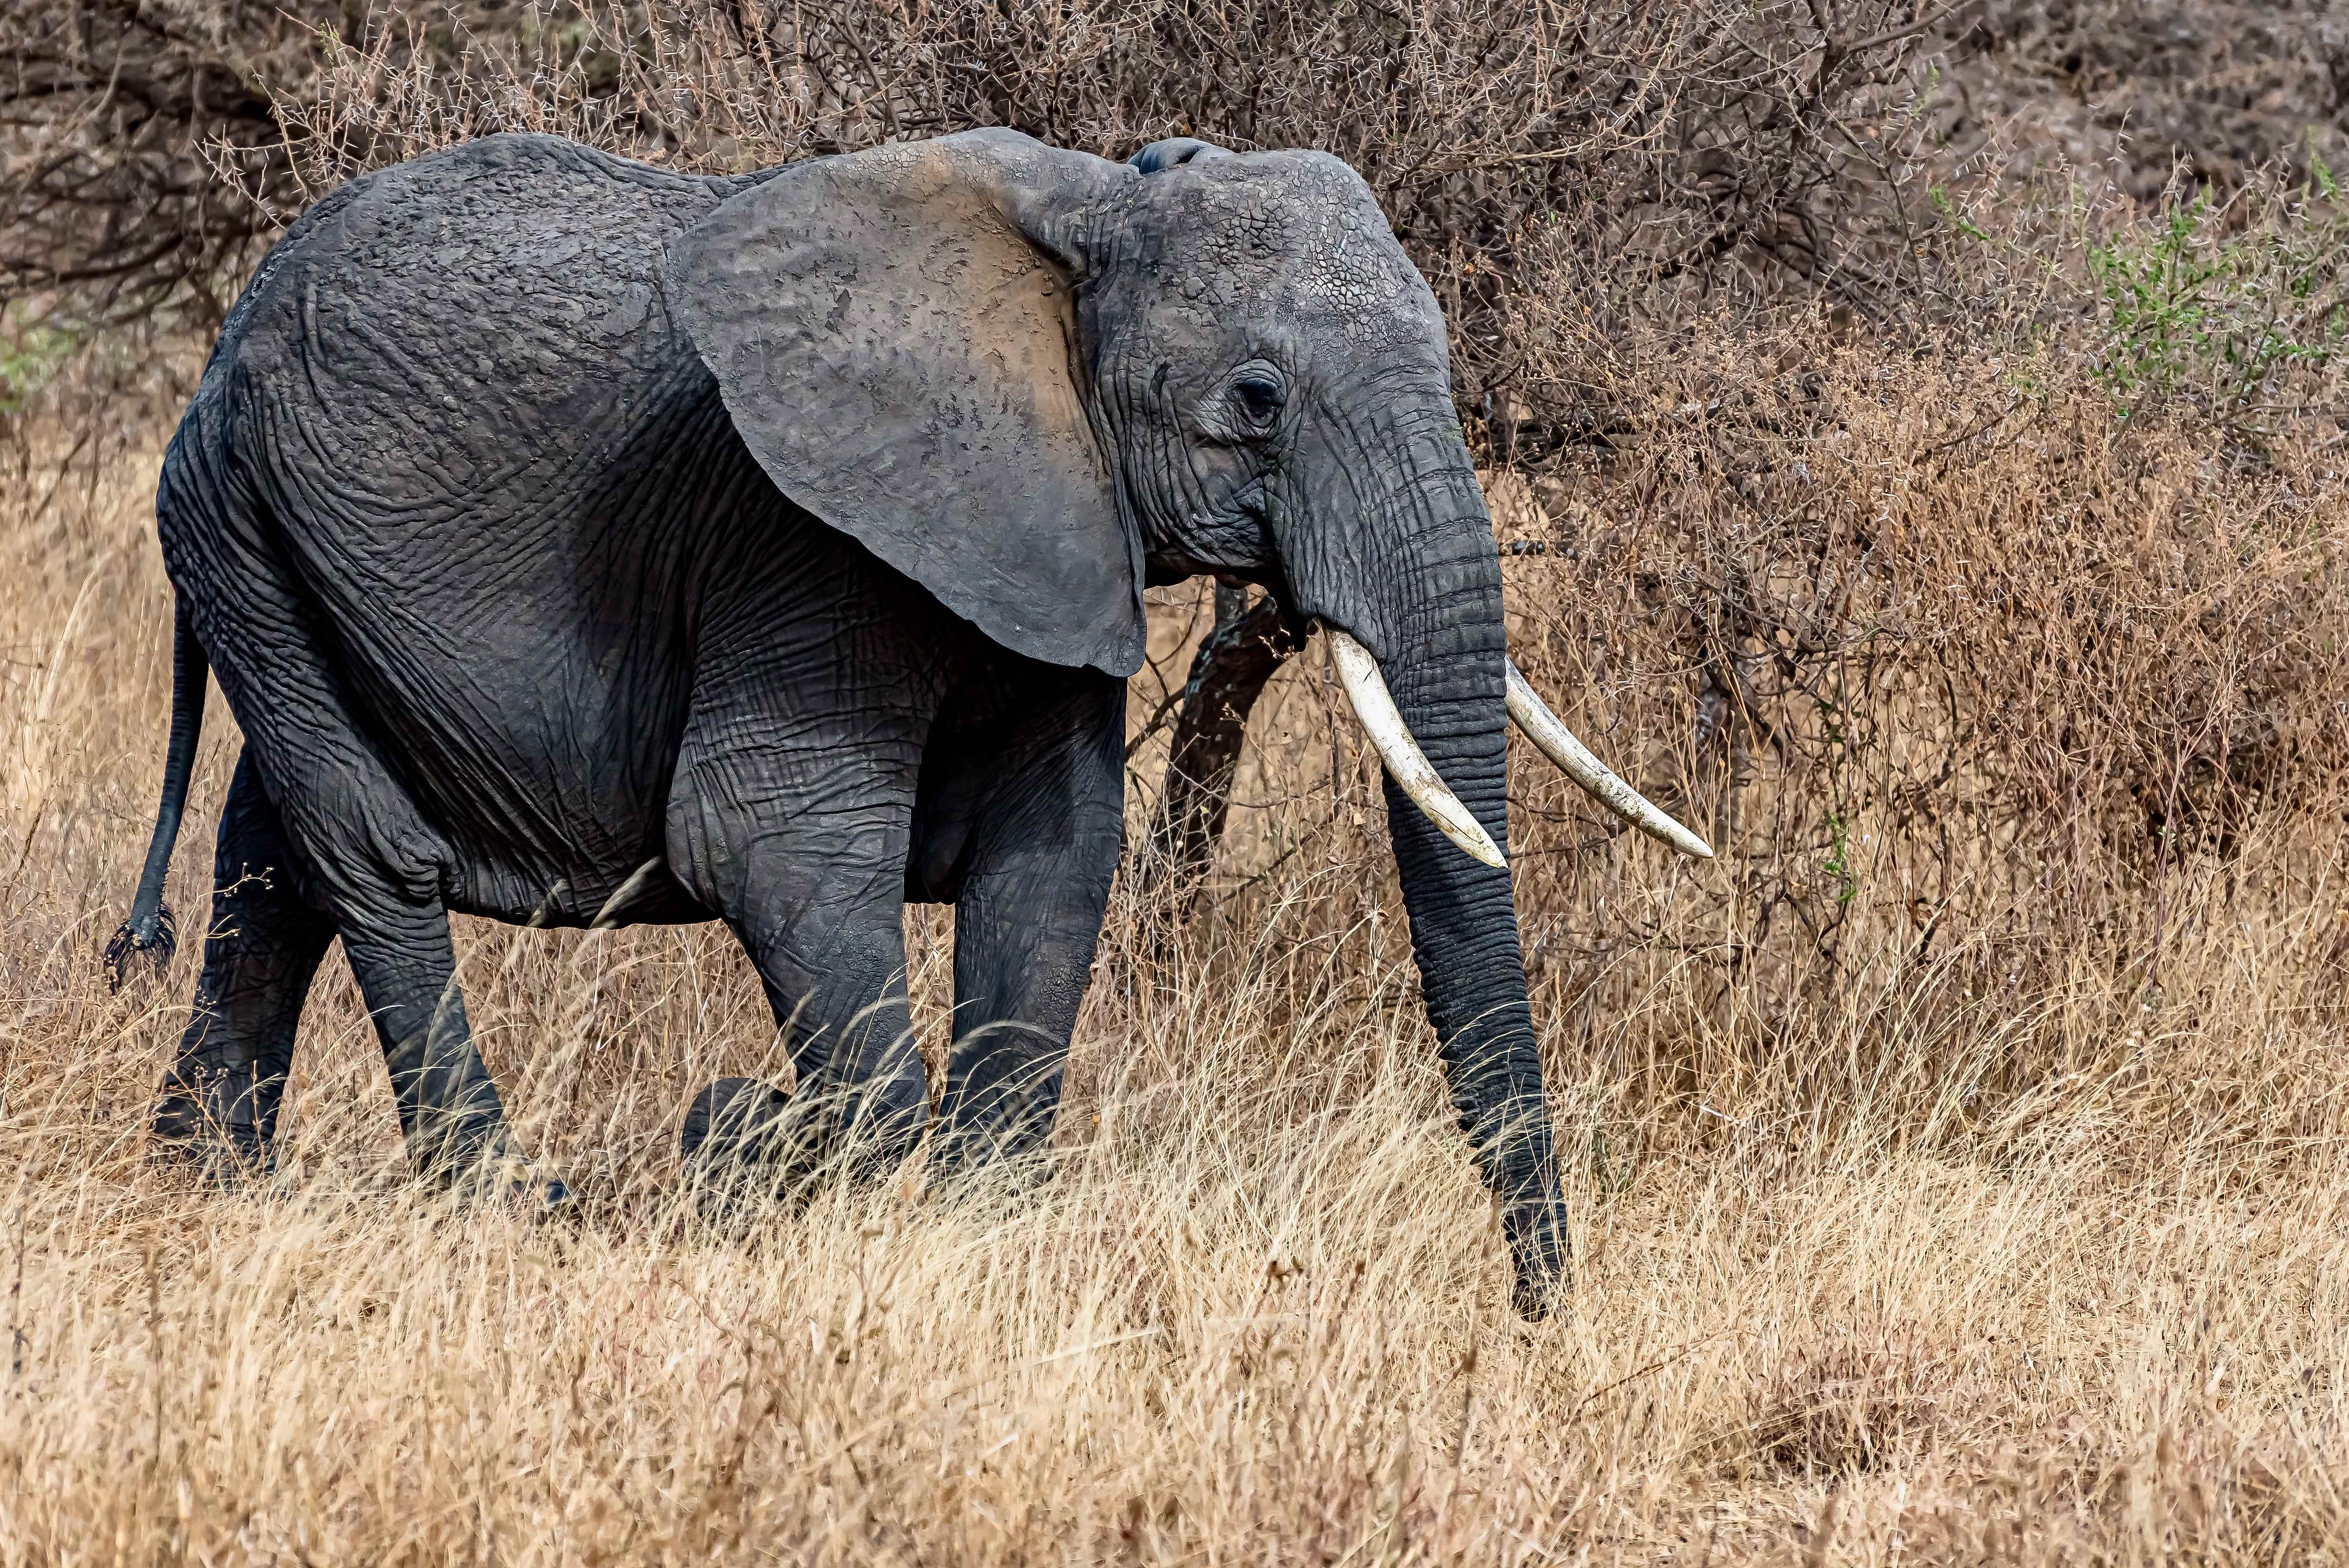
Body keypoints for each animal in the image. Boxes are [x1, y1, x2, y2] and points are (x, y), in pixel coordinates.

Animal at [108, 126, 1709, 1316]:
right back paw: (505, 1198)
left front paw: (966, 1226)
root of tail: (230, 331)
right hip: (232, 518)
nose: (1534, 1313)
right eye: (1256, 398)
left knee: (273, 856)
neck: (1080, 217)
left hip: (265, 543)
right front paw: (793, 1158)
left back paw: (207, 1182)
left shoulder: (1048, 518)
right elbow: (772, 843)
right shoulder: (797, 535)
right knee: (367, 850)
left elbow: (1052, 855)